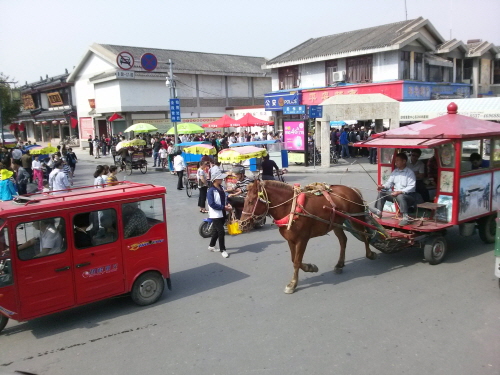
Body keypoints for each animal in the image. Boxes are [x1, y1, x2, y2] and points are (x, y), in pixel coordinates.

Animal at [240, 181, 376, 296]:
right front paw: (310, 267)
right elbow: (294, 260)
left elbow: (296, 261)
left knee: (365, 234)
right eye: (244, 201)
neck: (291, 208)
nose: (242, 224)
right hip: (336, 224)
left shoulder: (302, 240)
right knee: (343, 240)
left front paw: (293, 284)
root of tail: (352, 189)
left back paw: (370, 254)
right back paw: (340, 264)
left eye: (251, 201)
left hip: (356, 220)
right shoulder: (290, 240)